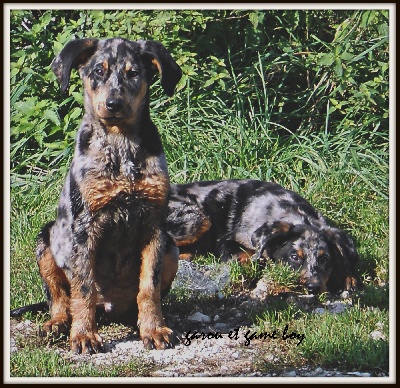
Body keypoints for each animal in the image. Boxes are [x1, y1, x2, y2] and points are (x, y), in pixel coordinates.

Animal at [166, 180, 360, 294]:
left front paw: (347, 277)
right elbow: (252, 255)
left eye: (324, 259)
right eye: (294, 257)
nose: (313, 288)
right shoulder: (227, 242)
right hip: (198, 219)